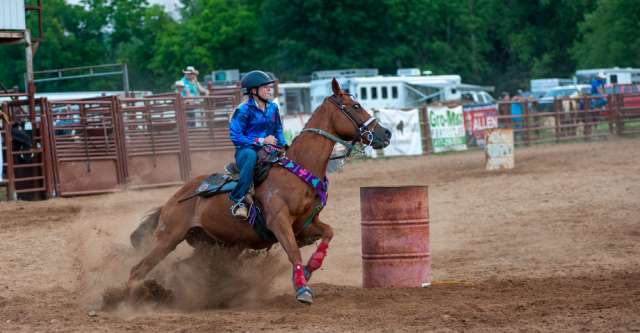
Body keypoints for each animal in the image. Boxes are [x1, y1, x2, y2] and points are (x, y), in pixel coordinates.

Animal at [126, 78, 390, 304]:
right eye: (355, 106)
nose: (386, 133)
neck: (299, 169)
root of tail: (172, 200)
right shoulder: (279, 222)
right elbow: (293, 252)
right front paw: (302, 289)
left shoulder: (306, 224)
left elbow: (328, 235)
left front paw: (306, 271)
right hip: (168, 238)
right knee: (137, 269)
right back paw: (131, 298)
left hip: (216, 246)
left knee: (183, 268)